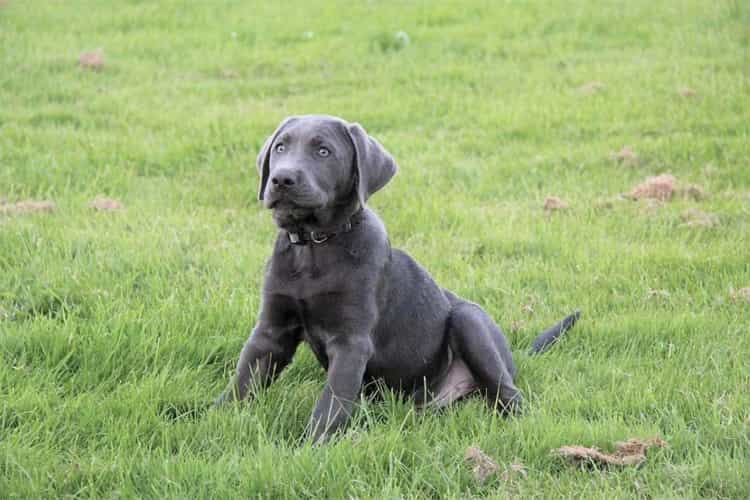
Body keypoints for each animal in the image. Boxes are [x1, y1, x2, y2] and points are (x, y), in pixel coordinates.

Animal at [217, 116, 580, 442]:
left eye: (323, 151)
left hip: (470, 321)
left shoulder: (351, 342)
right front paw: (212, 421)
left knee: (508, 393)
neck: (315, 246)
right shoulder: (271, 332)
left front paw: (309, 449)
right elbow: (242, 381)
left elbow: (331, 403)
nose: (281, 179)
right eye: (280, 148)